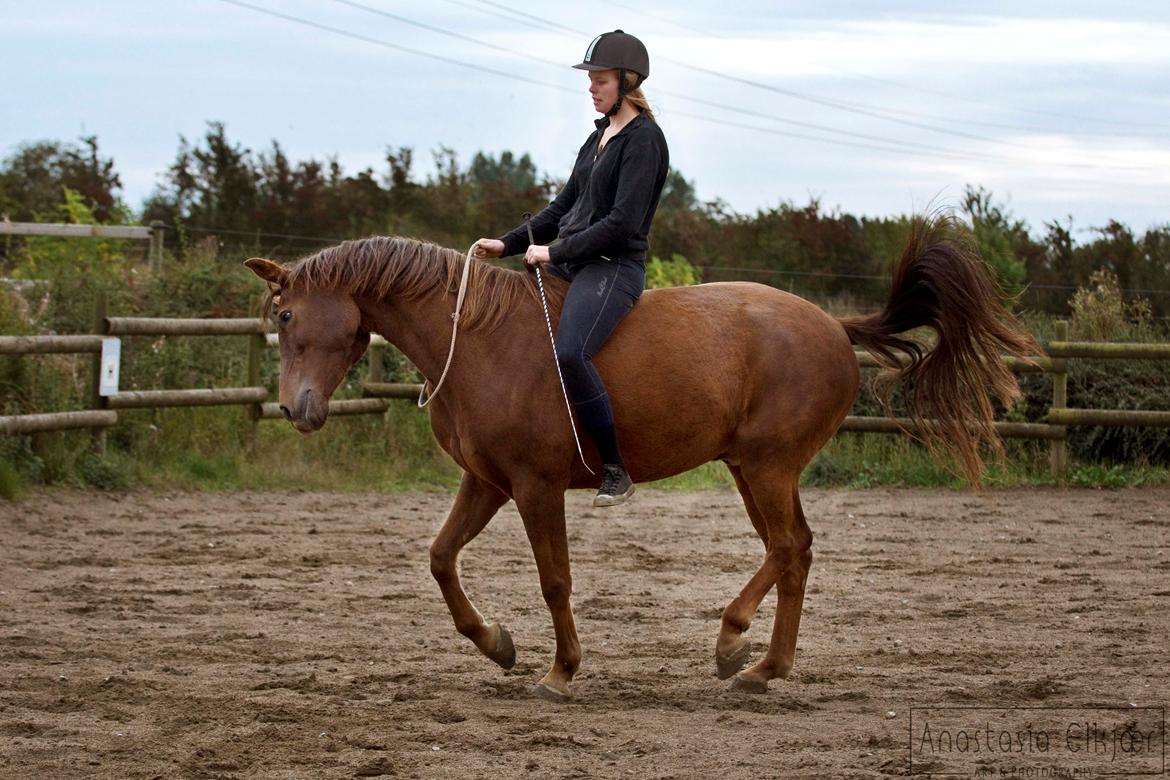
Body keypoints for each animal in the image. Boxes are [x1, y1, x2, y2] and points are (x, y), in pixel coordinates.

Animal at [244, 215, 1034, 701]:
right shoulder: (487, 481)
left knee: (787, 548)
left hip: (769, 466)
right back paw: (760, 664)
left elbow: (555, 580)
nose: (294, 410)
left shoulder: (535, 487)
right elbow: (440, 559)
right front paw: (497, 644)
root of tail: (834, 327)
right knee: (796, 550)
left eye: (285, 315)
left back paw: (737, 644)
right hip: (752, 469)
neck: (478, 340)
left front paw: (561, 673)